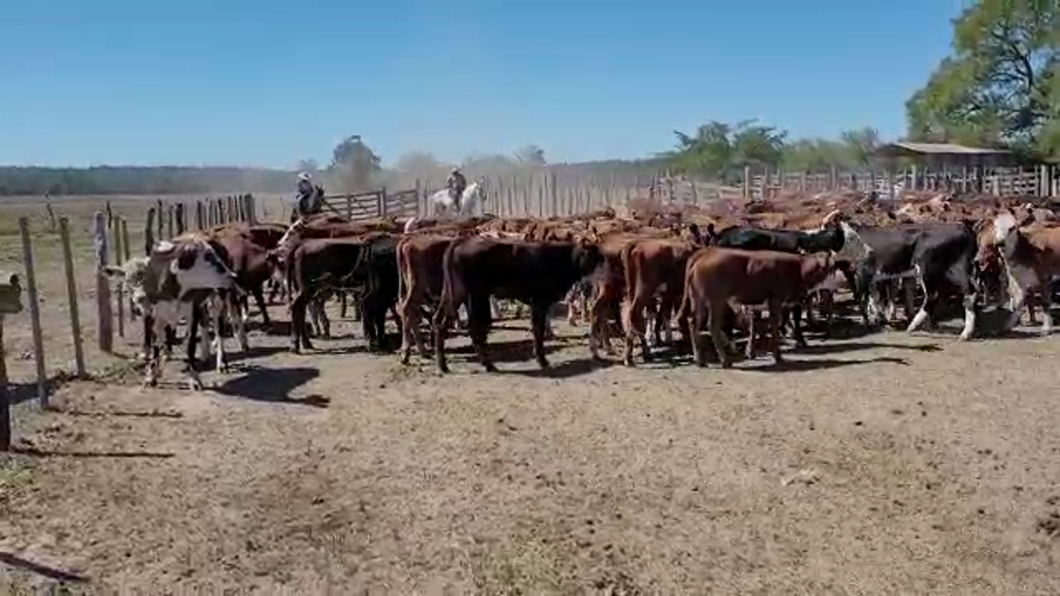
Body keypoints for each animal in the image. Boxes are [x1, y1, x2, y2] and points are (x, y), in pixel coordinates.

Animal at [104, 232, 242, 390]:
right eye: (128, 281)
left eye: (210, 255)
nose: (232, 276)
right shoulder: (155, 314)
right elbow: (156, 343)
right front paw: (152, 374)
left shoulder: (191, 311)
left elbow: (190, 345)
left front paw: (194, 378)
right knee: (205, 321)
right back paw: (205, 354)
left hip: (218, 298)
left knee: (219, 329)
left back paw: (222, 362)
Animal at [678, 246, 835, 366]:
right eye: (831, 267)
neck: (797, 269)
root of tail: (704, 253)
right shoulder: (775, 301)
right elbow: (774, 326)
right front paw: (777, 355)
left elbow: (757, 326)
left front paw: (751, 351)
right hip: (716, 301)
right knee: (712, 326)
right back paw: (725, 360)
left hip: (698, 299)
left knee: (693, 322)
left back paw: (700, 359)